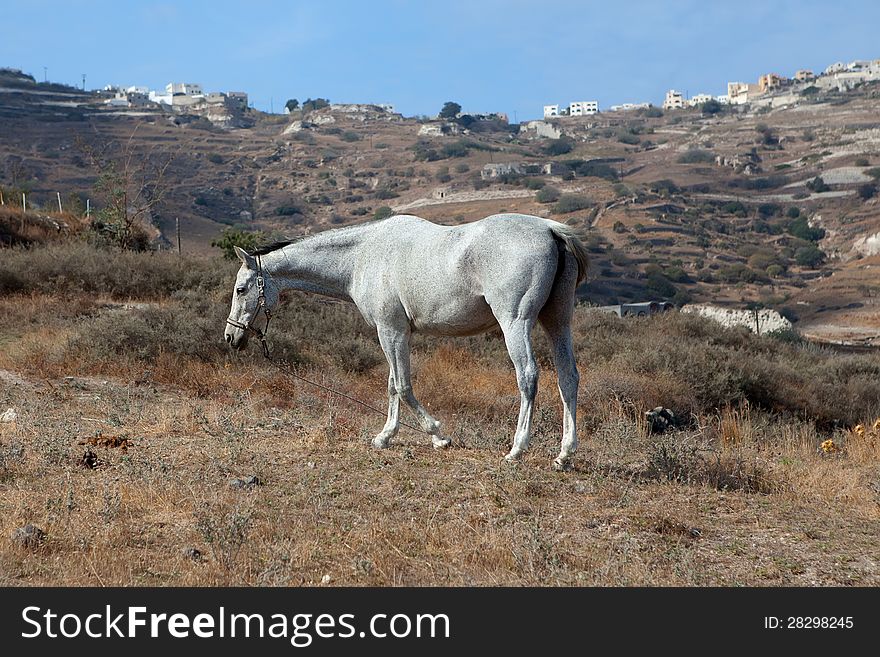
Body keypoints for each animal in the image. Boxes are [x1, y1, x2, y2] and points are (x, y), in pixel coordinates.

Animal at [223, 213, 588, 468]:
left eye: (241, 289)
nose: (230, 336)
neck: (362, 255)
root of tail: (551, 230)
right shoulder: (396, 332)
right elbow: (392, 385)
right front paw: (385, 436)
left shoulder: (390, 330)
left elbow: (403, 385)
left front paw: (438, 436)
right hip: (557, 322)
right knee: (568, 377)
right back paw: (564, 454)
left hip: (515, 323)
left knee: (528, 377)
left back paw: (517, 449)